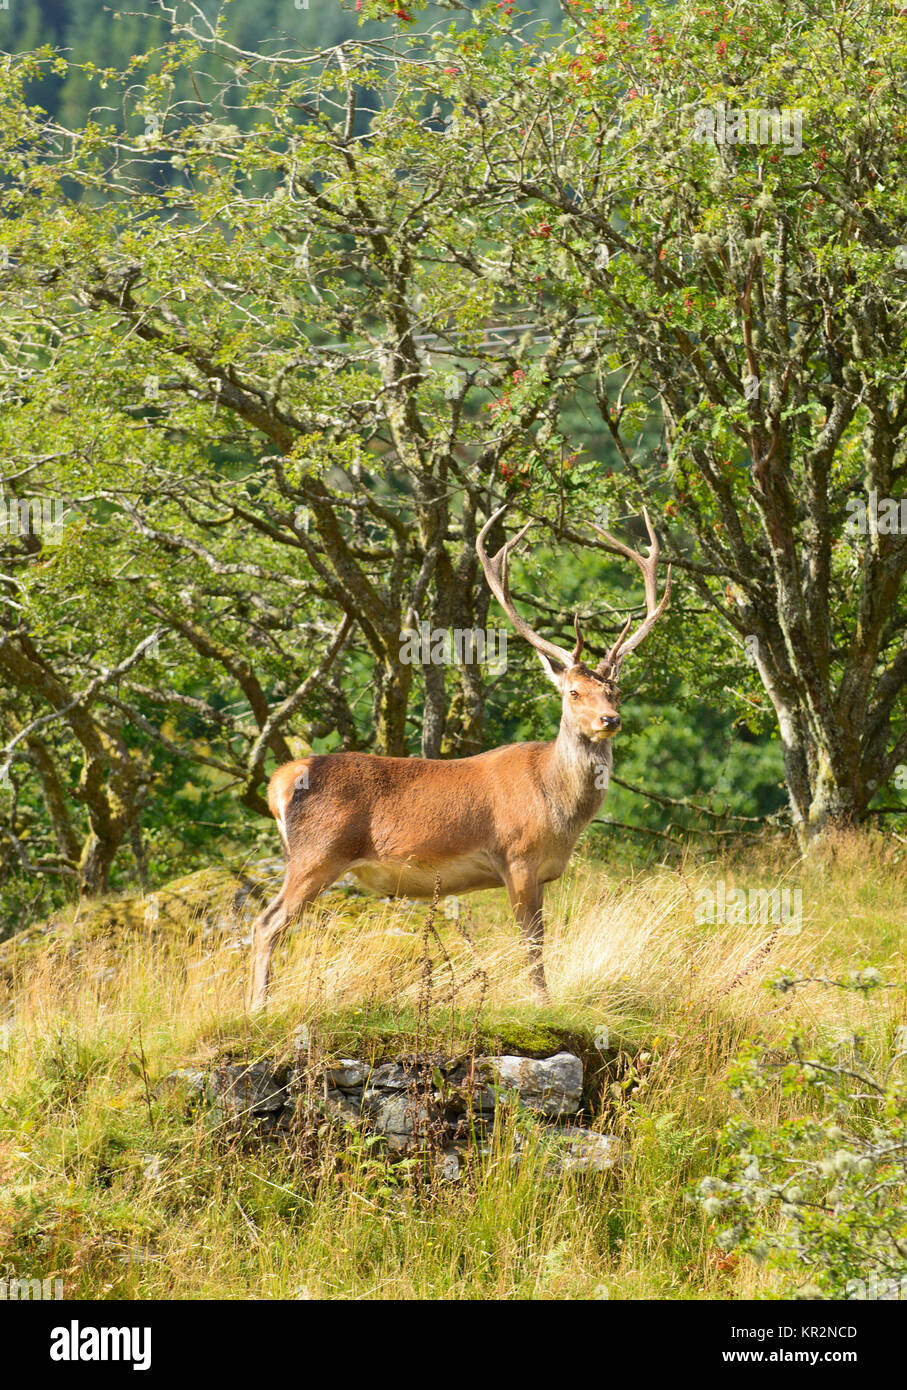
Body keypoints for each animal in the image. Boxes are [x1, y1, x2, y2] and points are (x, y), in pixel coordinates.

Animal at [244, 505, 669, 1006]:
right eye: (573, 692)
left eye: (615, 690)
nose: (610, 719)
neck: (557, 808)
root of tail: (280, 780)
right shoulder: (517, 856)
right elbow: (532, 942)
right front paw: (541, 1003)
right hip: (317, 852)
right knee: (267, 923)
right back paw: (259, 1006)